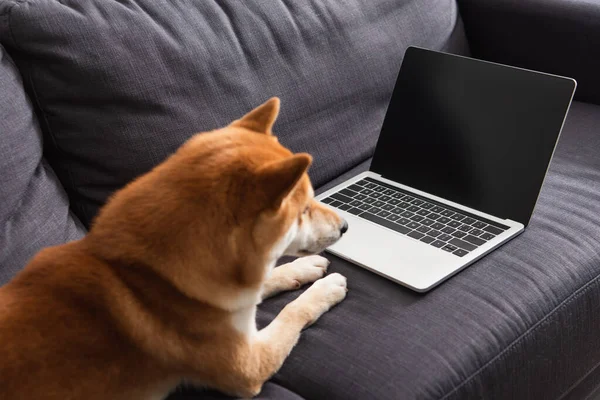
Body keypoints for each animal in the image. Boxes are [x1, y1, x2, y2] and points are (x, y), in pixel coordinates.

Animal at [0, 97, 350, 400]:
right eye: (304, 209)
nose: (346, 226)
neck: (145, 276)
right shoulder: (249, 365)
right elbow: (293, 311)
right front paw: (325, 289)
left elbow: (267, 279)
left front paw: (302, 269)